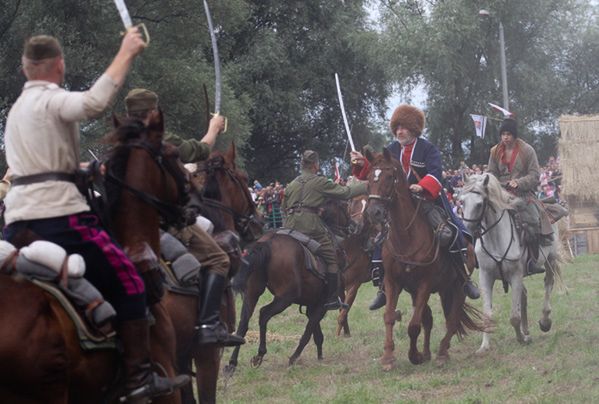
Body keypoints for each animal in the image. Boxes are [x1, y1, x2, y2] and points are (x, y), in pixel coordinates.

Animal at [225, 197, 354, 374]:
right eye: (345, 207)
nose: (353, 225)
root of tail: (268, 243)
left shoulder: (312, 305)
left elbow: (316, 333)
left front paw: (320, 356)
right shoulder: (321, 306)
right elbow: (308, 333)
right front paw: (294, 357)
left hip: (253, 293)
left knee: (244, 322)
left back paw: (232, 363)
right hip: (285, 298)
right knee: (264, 314)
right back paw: (260, 354)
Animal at [364, 148, 486, 370]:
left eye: (389, 177)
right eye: (369, 178)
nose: (373, 212)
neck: (406, 236)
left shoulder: (425, 284)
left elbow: (413, 325)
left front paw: (414, 356)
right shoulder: (393, 282)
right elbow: (390, 317)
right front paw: (388, 357)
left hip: (456, 288)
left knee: (452, 319)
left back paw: (442, 352)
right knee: (429, 319)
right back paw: (429, 352)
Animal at [460, 174, 564, 354]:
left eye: (479, 204)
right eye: (462, 202)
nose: (466, 232)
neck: (496, 238)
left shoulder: (515, 275)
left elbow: (514, 317)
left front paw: (521, 338)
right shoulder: (486, 276)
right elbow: (488, 314)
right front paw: (484, 346)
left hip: (549, 260)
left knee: (548, 285)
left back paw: (544, 321)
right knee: (524, 294)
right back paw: (526, 329)